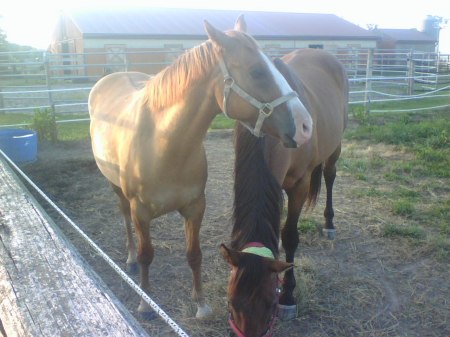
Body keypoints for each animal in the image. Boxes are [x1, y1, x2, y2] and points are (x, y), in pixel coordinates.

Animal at [88, 16, 312, 318]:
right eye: (256, 72)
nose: (306, 125)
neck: (163, 144)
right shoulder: (141, 212)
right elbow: (148, 256)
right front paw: (145, 303)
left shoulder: (195, 207)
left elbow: (194, 255)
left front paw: (201, 304)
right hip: (117, 190)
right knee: (125, 220)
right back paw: (131, 259)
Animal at [221, 48, 348, 334]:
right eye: (231, 302)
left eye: (271, 303)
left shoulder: (299, 185)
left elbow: (289, 236)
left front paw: (290, 295)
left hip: (336, 146)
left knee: (330, 175)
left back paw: (329, 223)